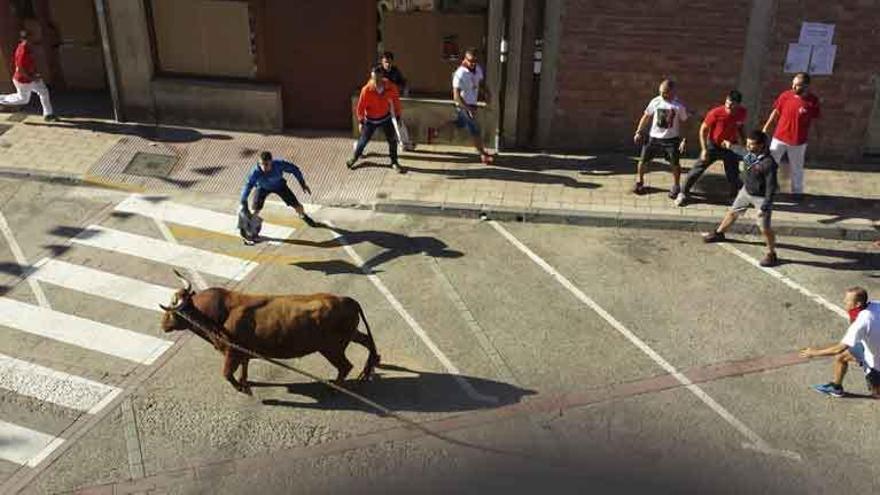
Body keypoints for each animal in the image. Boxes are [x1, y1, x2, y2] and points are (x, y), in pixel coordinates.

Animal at [160, 272, 380, 396]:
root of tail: (348, 300)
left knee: (345, 366)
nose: (163, 325)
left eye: (172, 311)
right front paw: (245, 382)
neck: (218, 315)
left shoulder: (232, 353)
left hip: (332, 348)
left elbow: (227, 374)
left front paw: (242, 388)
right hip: (349, 335)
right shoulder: (243, 352)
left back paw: (334, 387)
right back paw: (371, 365)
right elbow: (243, 369)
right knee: (366, 341)